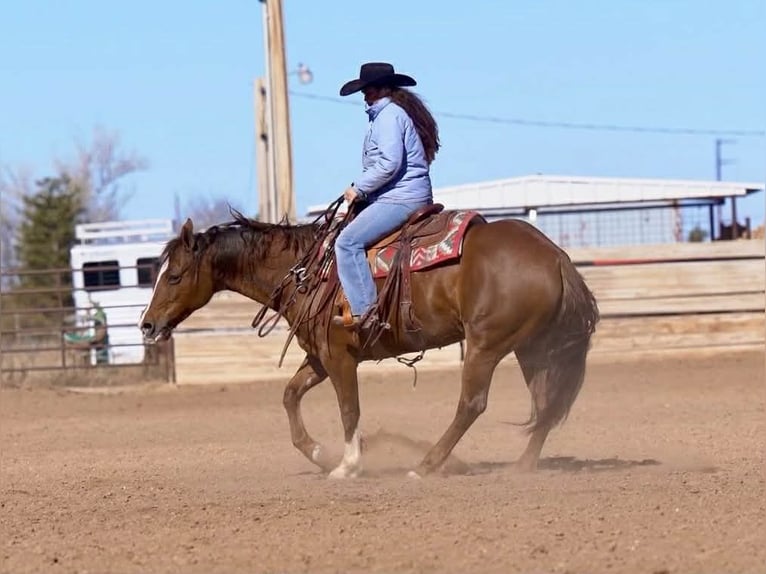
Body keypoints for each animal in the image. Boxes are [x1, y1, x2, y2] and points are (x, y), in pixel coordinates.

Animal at [138, 207, 599, 479]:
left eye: (174, 275)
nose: (147, 325)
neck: (307, 270)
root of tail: (555, 255)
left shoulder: (339, 357)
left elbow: (349, 408)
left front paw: (349, 465)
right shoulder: (319, 357)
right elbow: (290, 396)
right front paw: (320, 453)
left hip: (487, 345)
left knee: (472, 404)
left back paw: (425, 466)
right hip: (532, 347)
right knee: (544, 404)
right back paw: (521, 468)